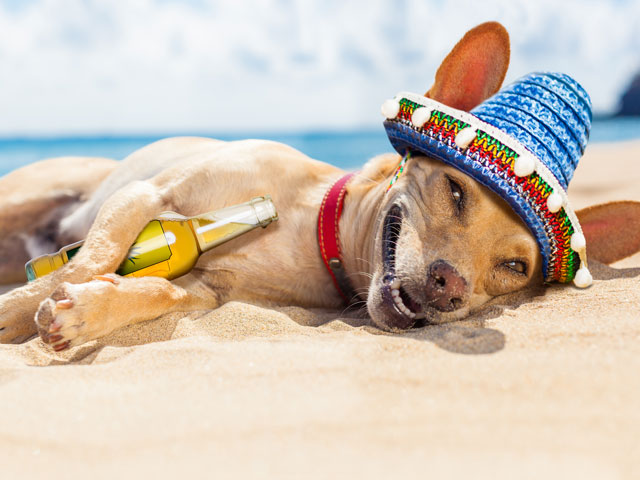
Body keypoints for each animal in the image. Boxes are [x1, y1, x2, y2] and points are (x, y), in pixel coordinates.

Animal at [1, 20, 640, 350]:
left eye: (514, 268)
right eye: (456, 191)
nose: (450, 288)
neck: (311, 229)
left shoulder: (206, 291)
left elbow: (156, 291)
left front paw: (84, 312)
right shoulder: (150, 197)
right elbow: (91, 259)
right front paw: (21, 308)